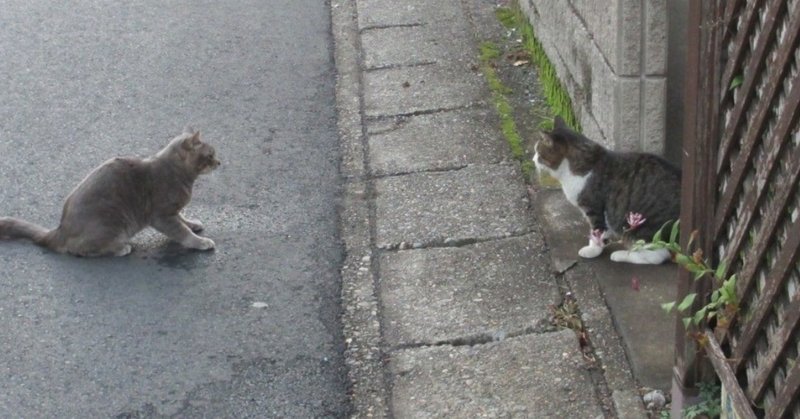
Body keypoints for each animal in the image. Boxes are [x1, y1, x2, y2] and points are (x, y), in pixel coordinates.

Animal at [0, 128, 219, 258]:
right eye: (210, 155)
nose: (219, 162)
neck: (181, 175)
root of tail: (59, 230)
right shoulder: (162, 215)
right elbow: (182, 232)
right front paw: (200, 242)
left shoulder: (173, 211)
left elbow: (183, 218)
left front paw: (193, 223)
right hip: (112, 224)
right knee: (84, 250)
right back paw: (122, 248)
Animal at [532, 116, 680, 264]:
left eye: (538, 153)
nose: (533, 159)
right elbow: (604, 228)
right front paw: (604, 241)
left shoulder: (593, 207)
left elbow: (596, 230)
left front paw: (593, 250)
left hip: (643, 227)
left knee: (657, 255)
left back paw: (620, 255)